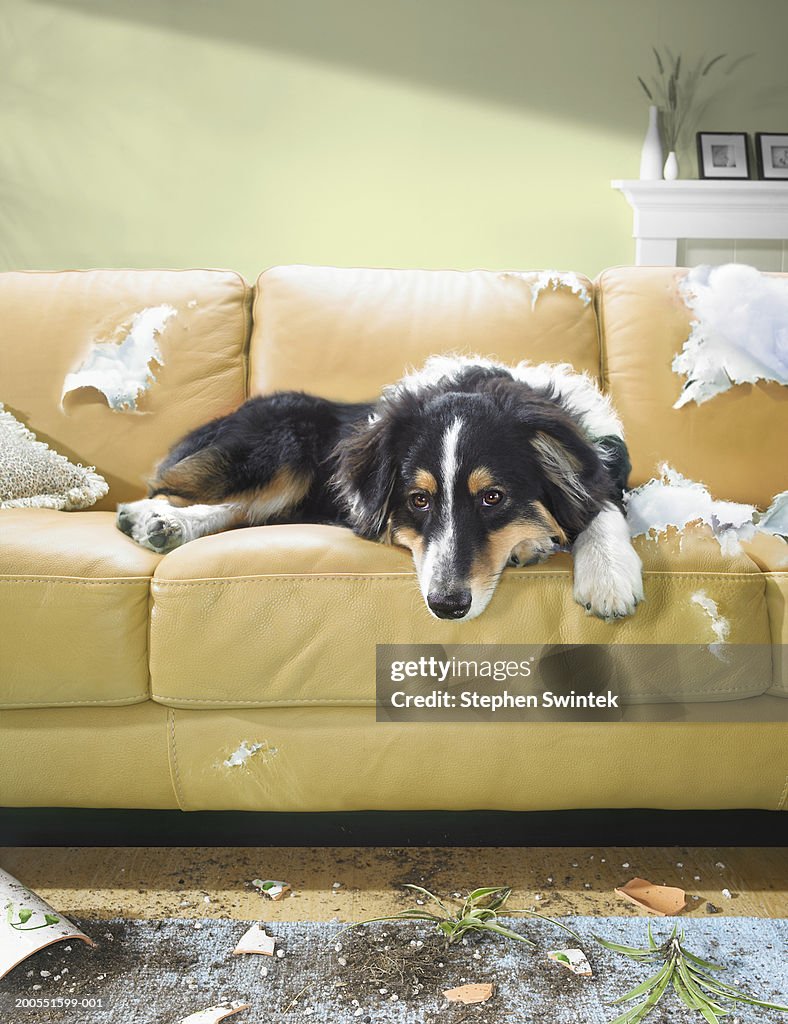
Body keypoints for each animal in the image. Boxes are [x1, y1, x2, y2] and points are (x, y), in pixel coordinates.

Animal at [118, 356, 646, 618]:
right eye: (419, 500)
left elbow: (600, 506)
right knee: (179, 488)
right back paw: (156, 518)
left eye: (492, 497)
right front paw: (538, 545)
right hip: (282, 442)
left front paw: (607, 576)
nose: (446, 607)